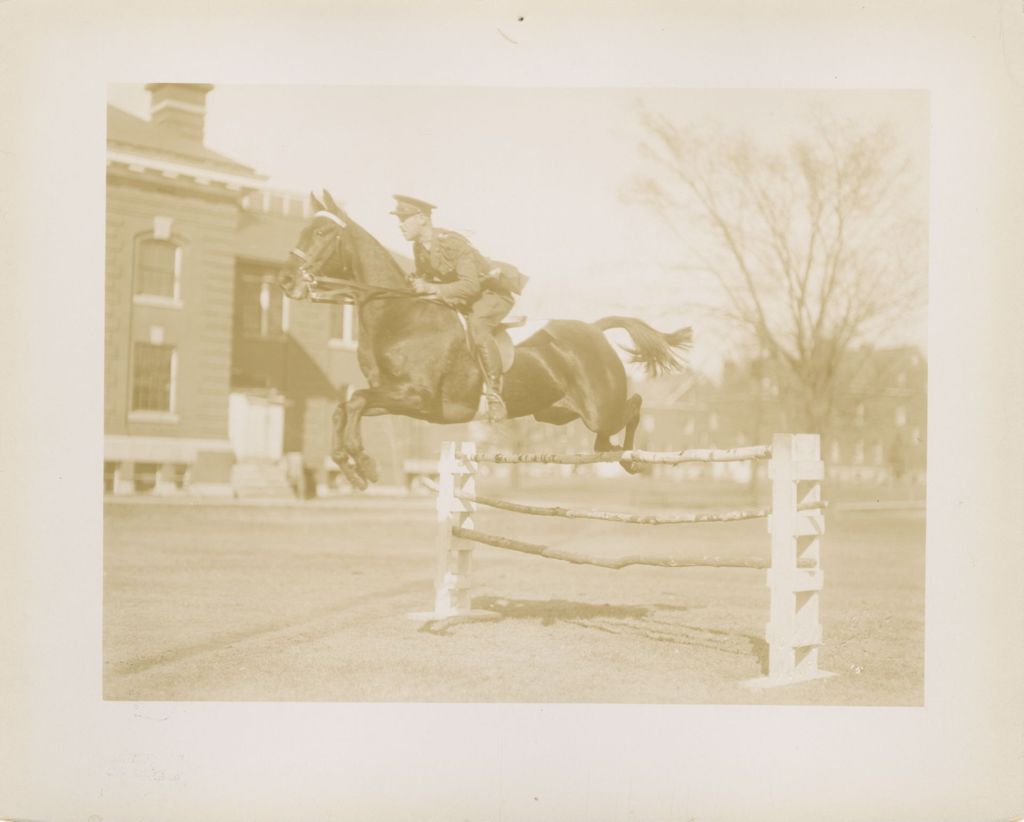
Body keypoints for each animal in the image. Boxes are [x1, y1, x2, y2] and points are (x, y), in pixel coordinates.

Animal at [280, 191, 692, 489]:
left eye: (321, 234)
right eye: (302, 230)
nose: (286, 280)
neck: (401, 316)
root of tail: (594, 329)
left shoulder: (416, 396)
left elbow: (356, 401)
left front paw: (363, 462)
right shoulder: (398, 399)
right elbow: (346, 406)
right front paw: (351, 466)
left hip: (598, 406)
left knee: (633, 406)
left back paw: (630, 458)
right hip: (554, 411)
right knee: (606, 429)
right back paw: (611, 451)